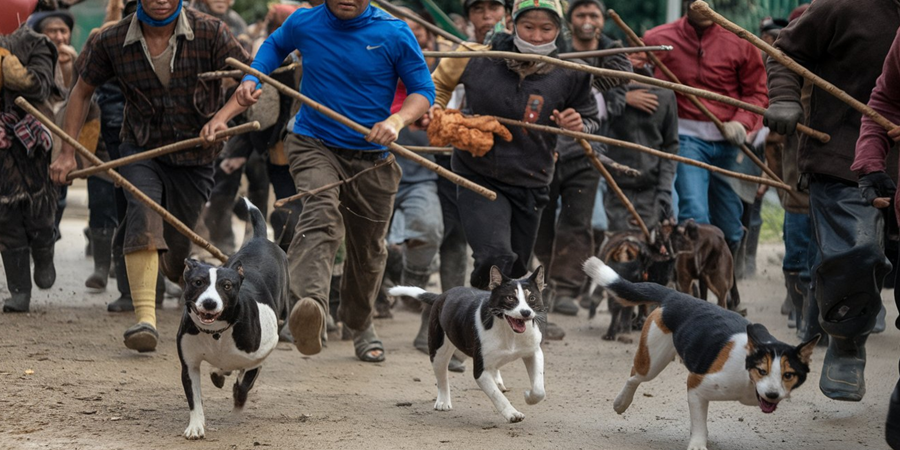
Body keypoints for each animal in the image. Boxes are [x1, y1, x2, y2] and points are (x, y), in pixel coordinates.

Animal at [176, 199, 288, 442]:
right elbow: (195, 398)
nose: (209, 303)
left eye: (226, 286)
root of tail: (260, 239)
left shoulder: (264, 347)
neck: (217, 333)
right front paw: (196, 426)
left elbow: (246, 374)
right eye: (198, 282)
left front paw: (238, 395)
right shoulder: (189, 365)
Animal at [392, 266, 548, 424]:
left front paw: (529, 397)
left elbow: (539, 389)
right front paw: (512, 413)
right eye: (510, 298)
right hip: (438, 351)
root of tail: (441, 296)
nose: (526, 312)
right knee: (442, 377)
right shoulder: (480, 371)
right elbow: (497, 395)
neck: (509, 332)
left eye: (532, 298)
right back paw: (443, 401)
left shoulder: (534, 352)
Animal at [584, 256, 824, 450]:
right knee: (635, 376)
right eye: (761, 371)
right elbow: (699, 423)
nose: (772, 395)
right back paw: (621, 402)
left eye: (788, 375)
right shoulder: (696, 386)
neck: (747, 378)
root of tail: (675, 296)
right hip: (652, 360)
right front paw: (698, 444)